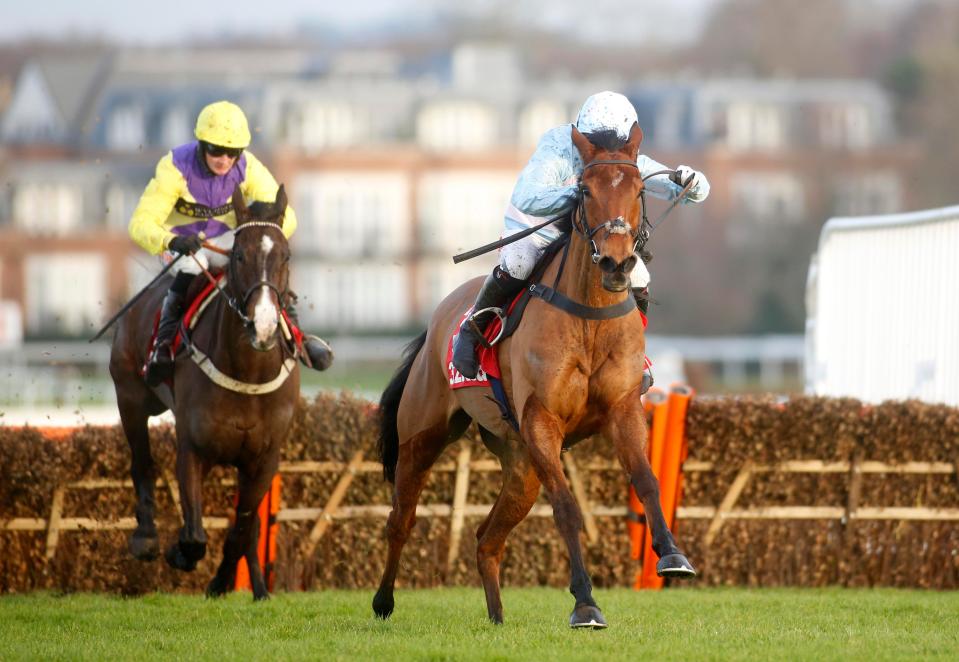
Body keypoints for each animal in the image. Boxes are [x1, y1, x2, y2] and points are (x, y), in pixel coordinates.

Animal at [108, 185, 300, 600]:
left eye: (285, 256)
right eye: (239, 255)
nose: (263, 326)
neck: (247, 373)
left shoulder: (264, 459)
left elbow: (243, 529)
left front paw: (226, 583)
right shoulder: (194, 450)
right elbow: (195, 535)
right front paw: (180, 553)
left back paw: (257, 587)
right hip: (130, 398)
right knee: (142, 462)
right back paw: (146, 538)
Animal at [372, 123, 692, 628]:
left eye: (640, 188)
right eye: (584, 190)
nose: (617, 263)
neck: (588, 316)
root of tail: (438, 319)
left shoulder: (622, 410)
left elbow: (645, 480)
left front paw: (673, 556)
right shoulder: (542, 420)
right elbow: (566, 508)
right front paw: (585, 602)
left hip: (520, 464)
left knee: (487, 538)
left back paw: (497, 617)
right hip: (422, 437)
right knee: (401, 518)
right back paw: (383, 602)